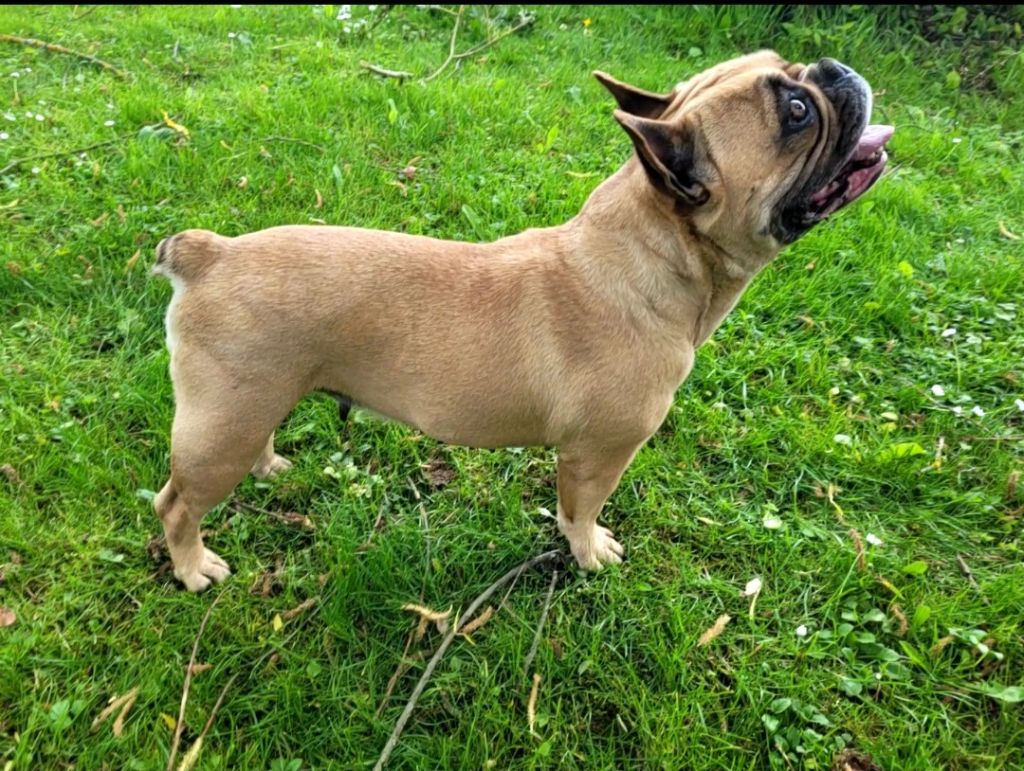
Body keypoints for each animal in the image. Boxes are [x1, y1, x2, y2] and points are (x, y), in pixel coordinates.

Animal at [152, 51, 892, 591]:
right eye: (795, 111)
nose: (832, 68)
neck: (648, 253)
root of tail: (210, 254)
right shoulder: (599, 454)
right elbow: (581, 510)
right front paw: (588, 553)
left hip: (253, 405)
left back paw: (269, 466)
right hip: (222, 426)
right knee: (176, 504)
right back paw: (194, 568)